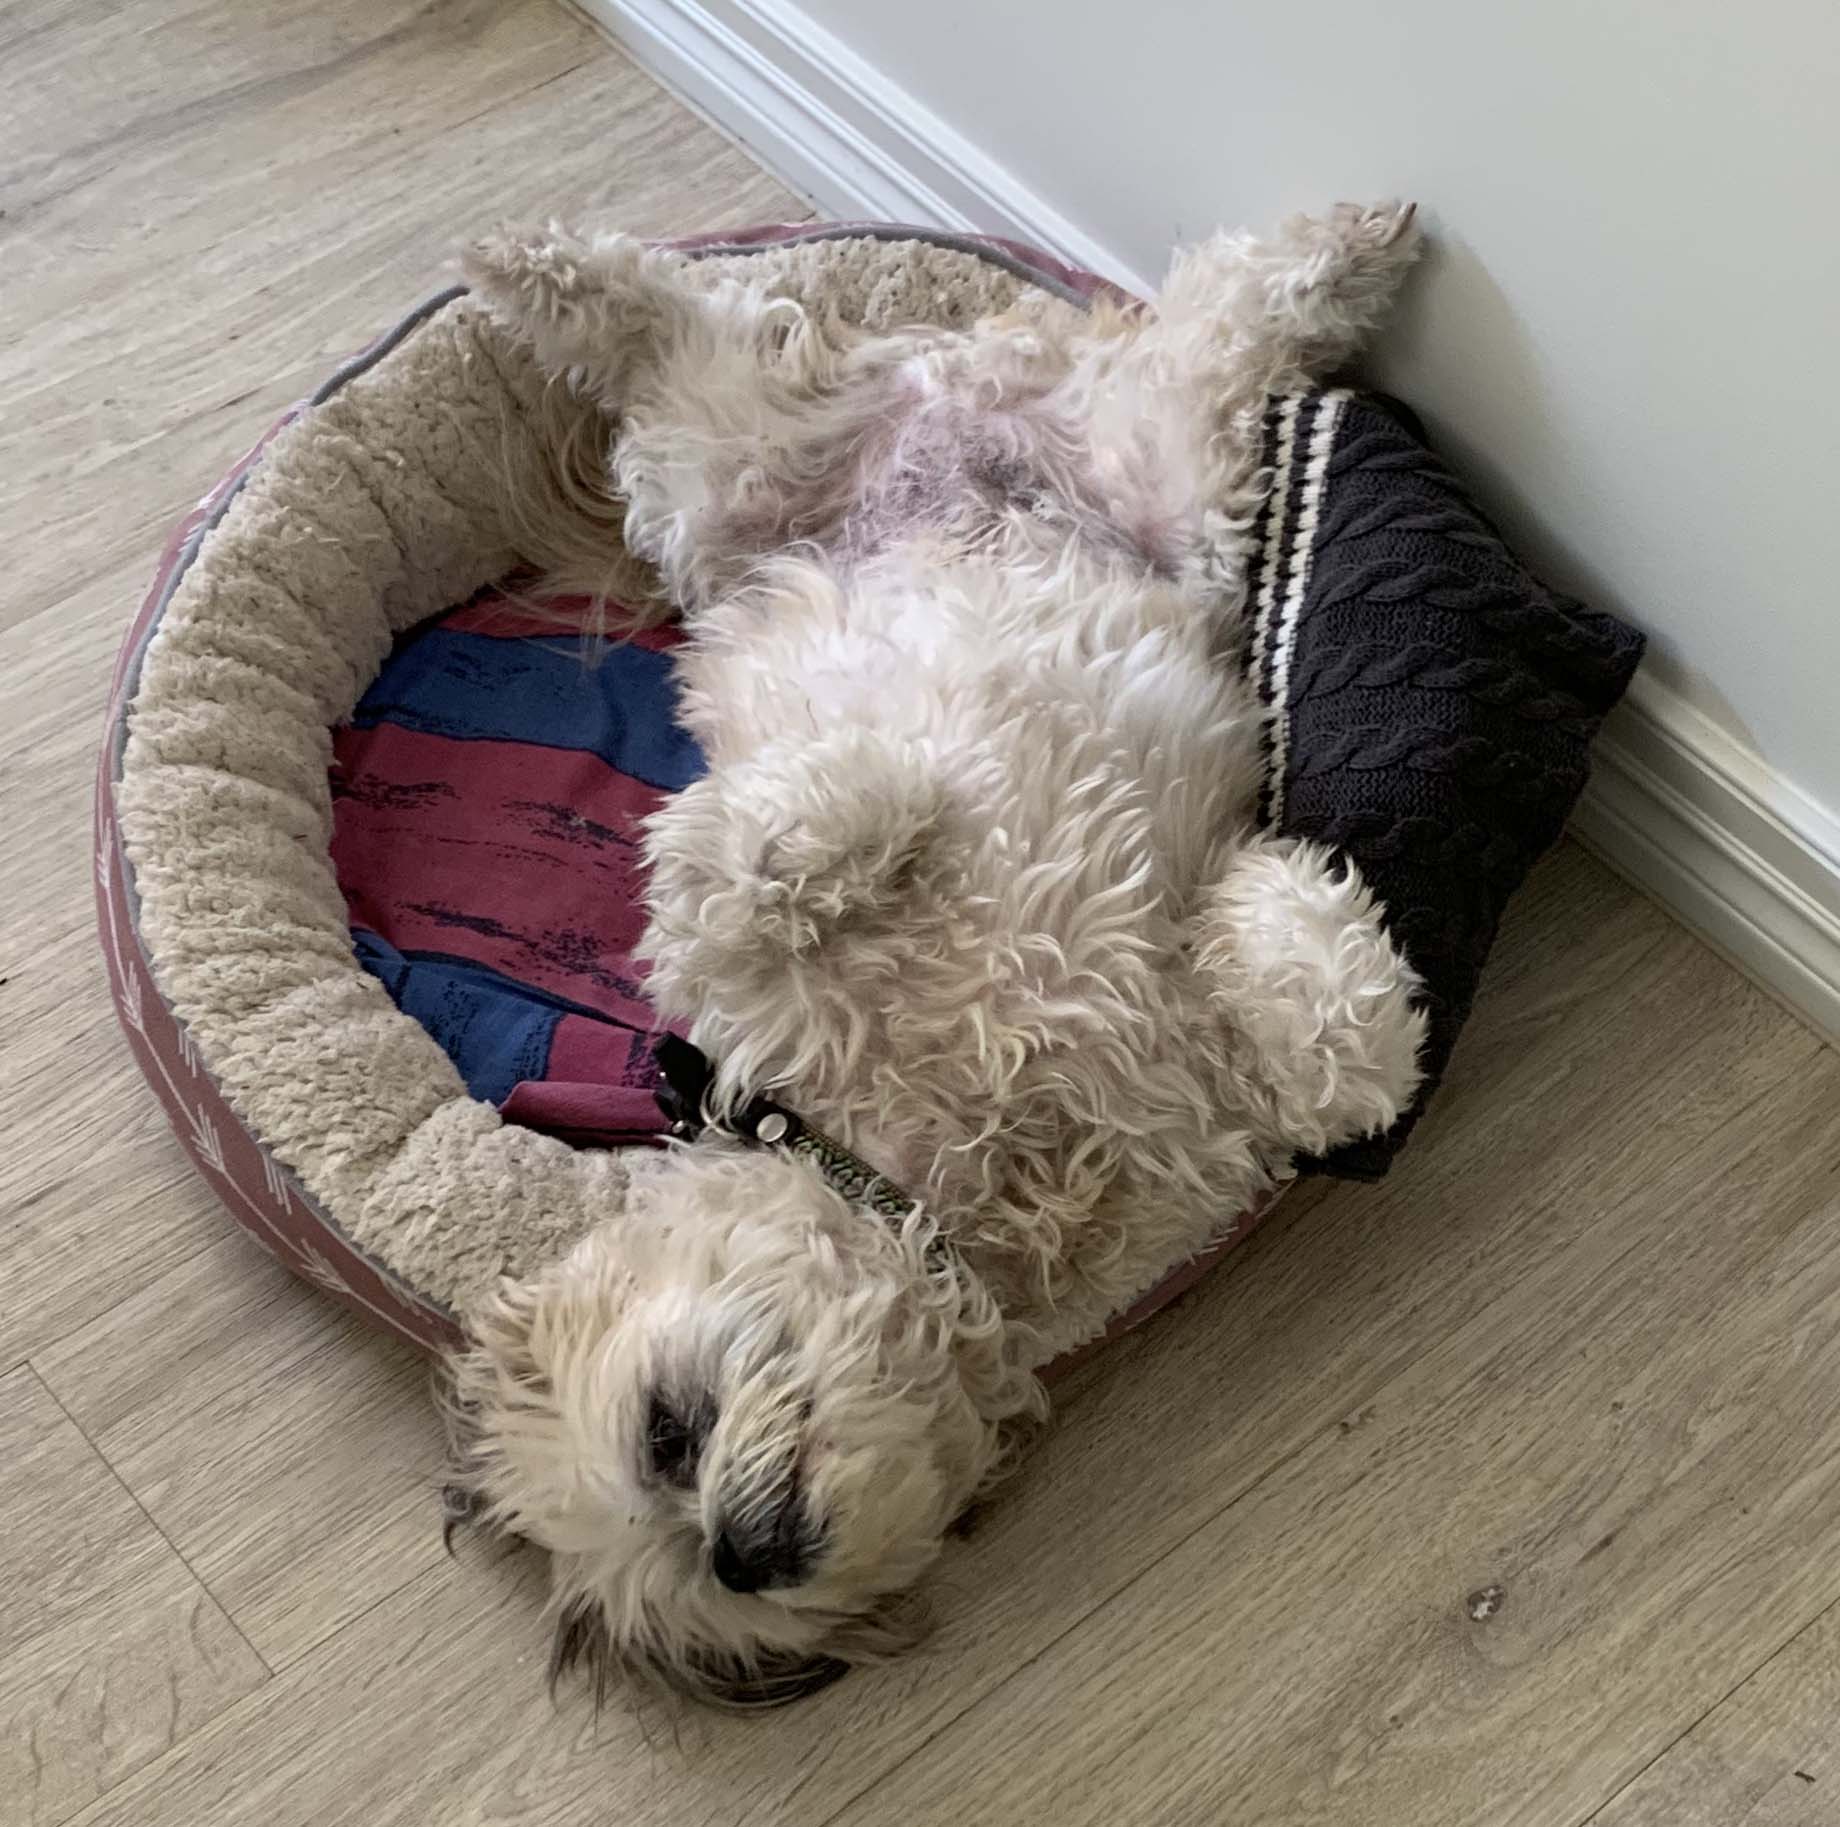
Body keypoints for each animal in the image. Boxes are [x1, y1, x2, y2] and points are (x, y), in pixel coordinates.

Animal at [452, 206, 1427, 1707]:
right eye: (710, 1587)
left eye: (671, 1434)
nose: (742, 1547)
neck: (942, 1169)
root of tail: (935, 410)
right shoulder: (1226, 1129)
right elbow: (1346, 1071)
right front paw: (1258, 901)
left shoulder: (729, 932)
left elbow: (753, 855)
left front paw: (908, 799)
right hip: (1074, 457)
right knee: (1212, 320)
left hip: (812, 455)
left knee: (673, 318)